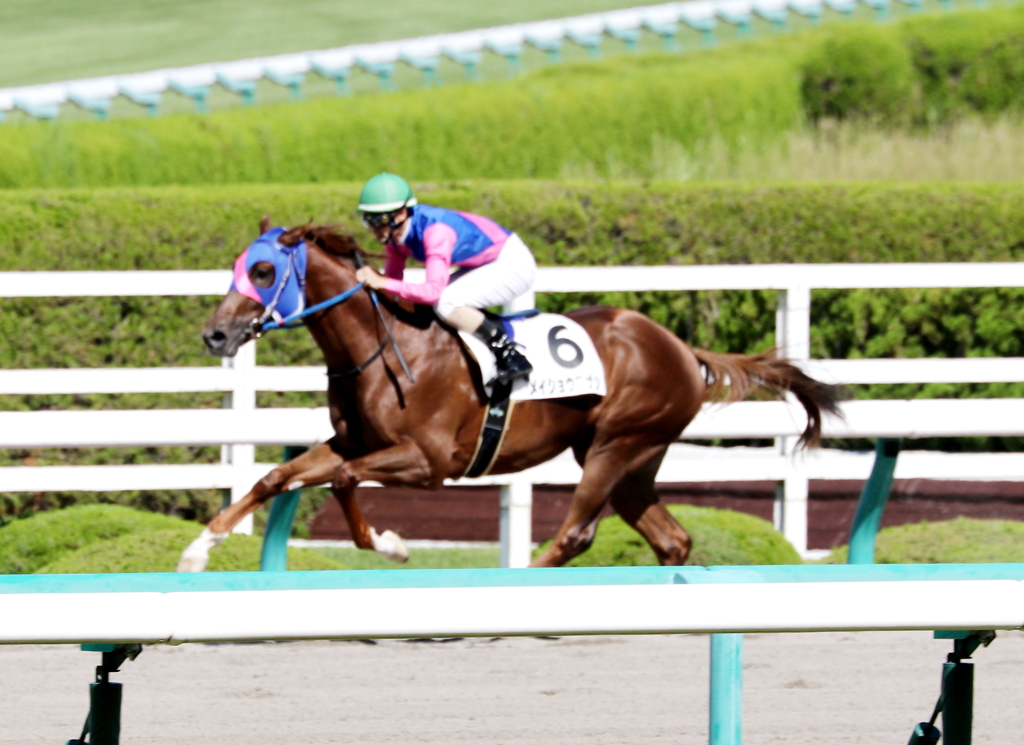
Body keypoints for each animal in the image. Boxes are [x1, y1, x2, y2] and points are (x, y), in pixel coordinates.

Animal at [180, 217, 839, 573]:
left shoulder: (428, 463)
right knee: (671, 538)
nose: (215, 333)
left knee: (576, 533)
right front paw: (198, 550)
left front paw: (391, 545)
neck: (384, 347)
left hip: (617, 444)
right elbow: (276, 477)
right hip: (632, 457)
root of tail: (680, 347)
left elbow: (342, 483)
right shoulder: (352, 442)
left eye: (263, 272)